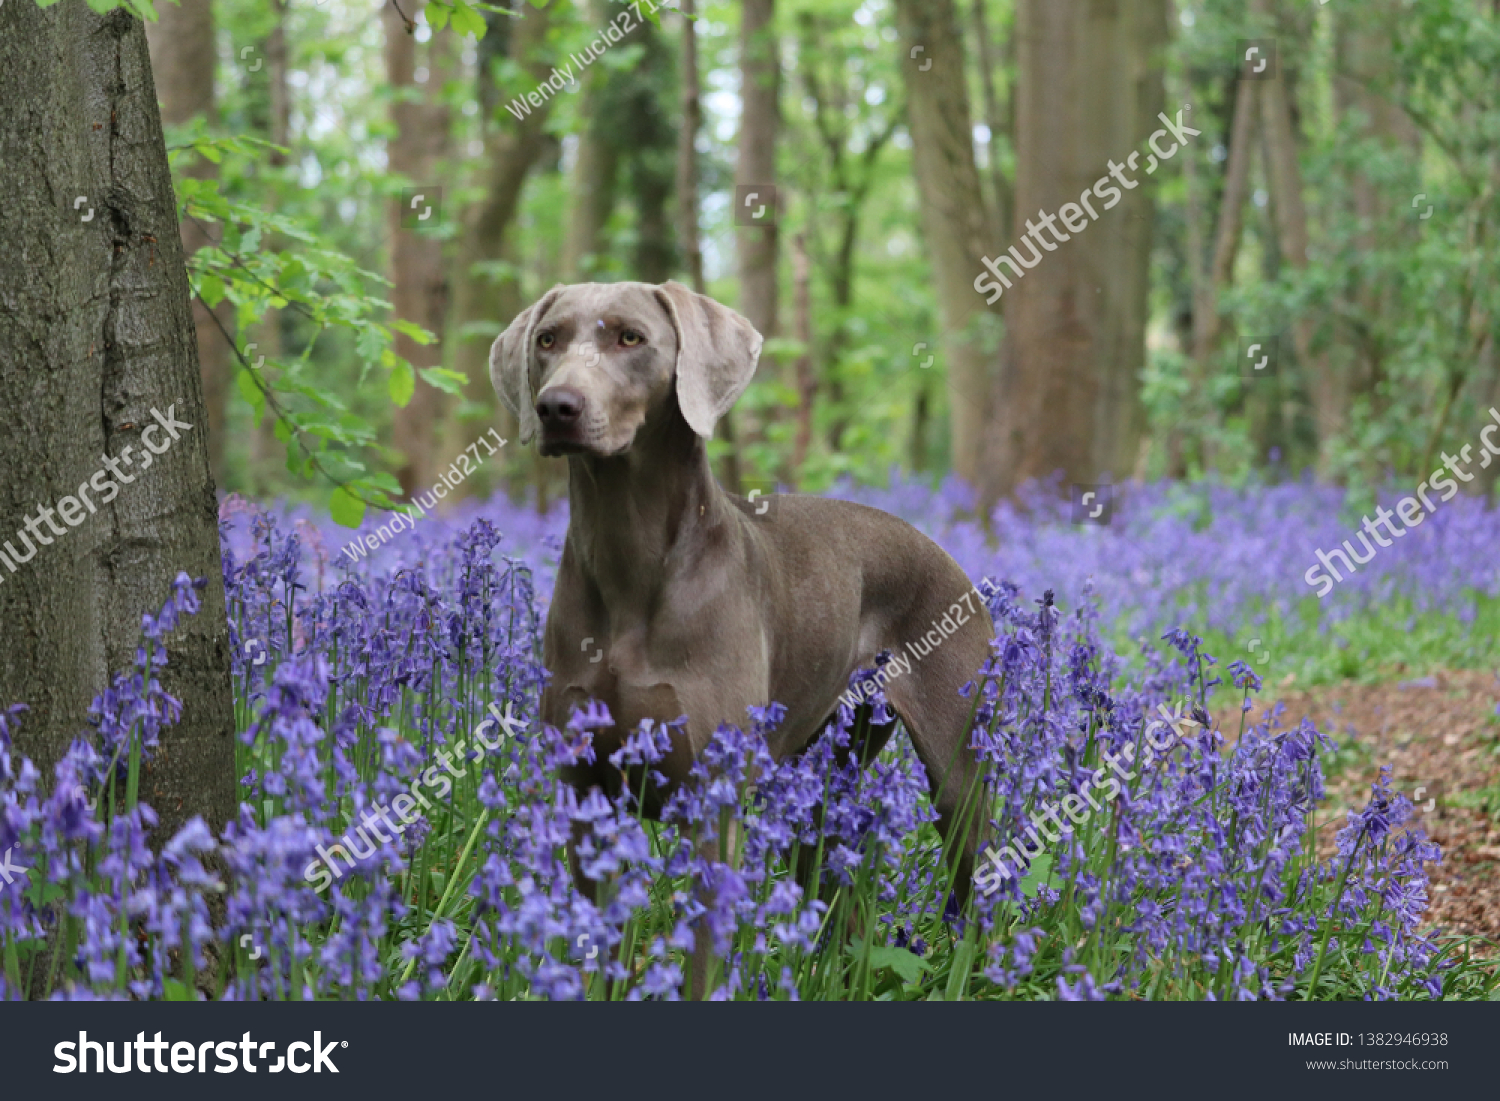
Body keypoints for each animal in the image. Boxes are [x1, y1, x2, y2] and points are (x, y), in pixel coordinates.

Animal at [486, 280, 990, 990]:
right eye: (548, 340)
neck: (629, 556)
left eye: (631, 338)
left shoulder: (711, 804)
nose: (556, 406)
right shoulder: (587, 799)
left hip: (957, 773)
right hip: (818, 785)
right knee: (842, 906)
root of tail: (946, 556)